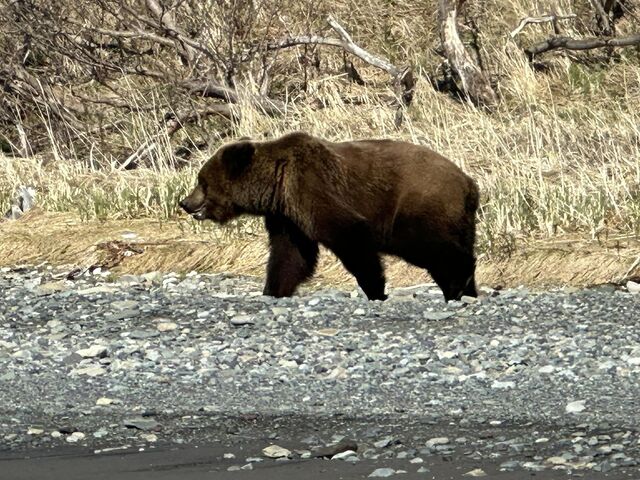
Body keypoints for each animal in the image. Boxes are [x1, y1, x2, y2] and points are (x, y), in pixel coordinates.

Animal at [178, 131, 478, 302]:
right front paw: (274, 289)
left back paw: (457, 283)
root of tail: (469, 183)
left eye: (202, 182)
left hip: (416, 206)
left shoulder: (311, 187)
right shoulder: (287, 217)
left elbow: (350, 235)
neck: (277, 183)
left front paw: (375, 289)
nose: (185, 202)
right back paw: (465, 290)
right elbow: (291, 255)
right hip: (460, 219)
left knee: (433, 247)